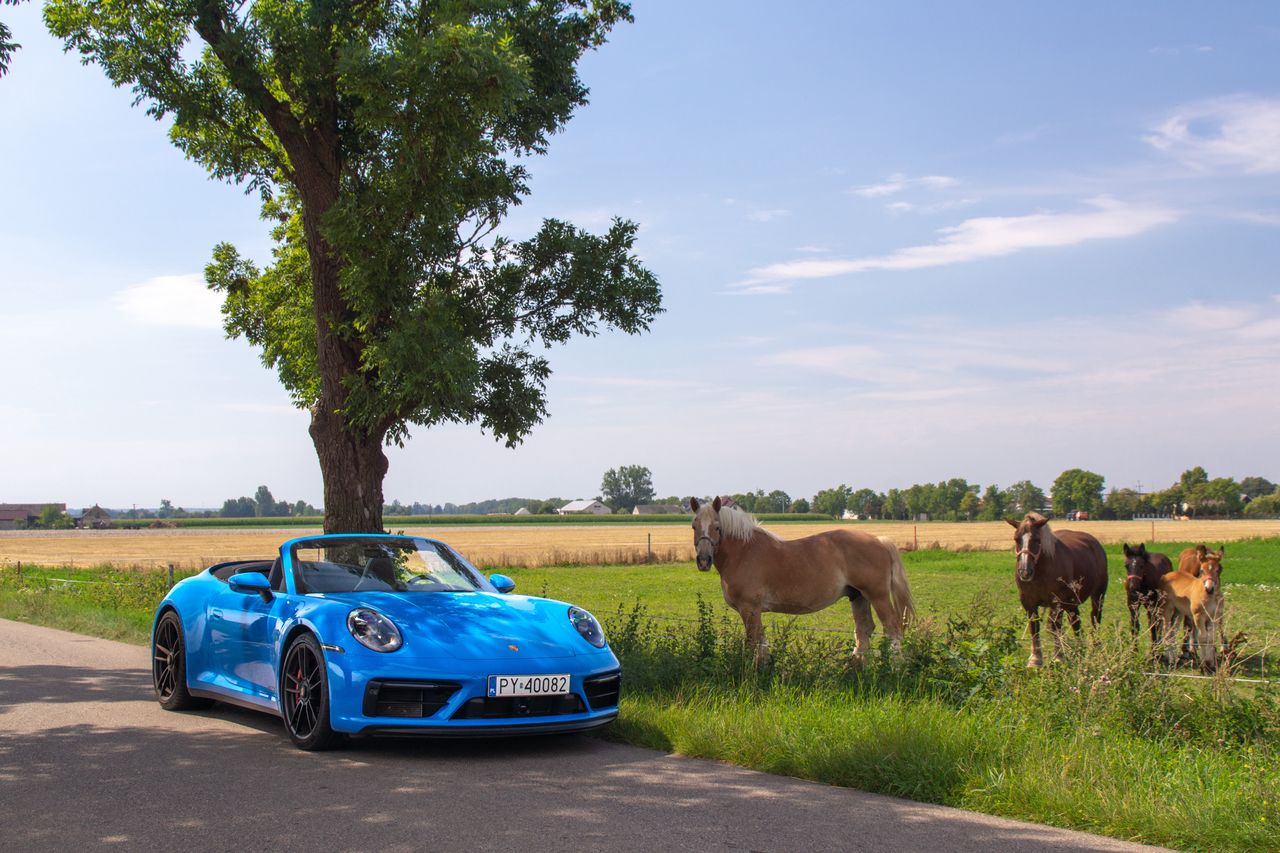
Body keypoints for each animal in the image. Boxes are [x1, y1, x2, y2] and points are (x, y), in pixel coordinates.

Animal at [691, 491, 911, 666]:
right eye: (694, 526)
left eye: (717, 527)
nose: (703, 560)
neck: (744, 551)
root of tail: (879, 541)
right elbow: (762, 642)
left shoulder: (750, 609)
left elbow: (755, 641)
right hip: (858, 596)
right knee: (864, 630)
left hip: (878, 596)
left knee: (892, 629)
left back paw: (895, 668)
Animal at [1003, 512, 1105, 666]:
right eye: (1016, 539)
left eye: (1037, 540)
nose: (1024, 571)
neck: (1040, 572)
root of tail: (1094, 542)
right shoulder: (1028, 601)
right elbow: (1034, 626)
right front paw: (1035, 659)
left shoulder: (1057, 601)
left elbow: (1055, 626)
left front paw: (1058, 657)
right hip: (1072, 603)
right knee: (1075, 621)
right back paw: (1080, 649)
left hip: (1098, 595)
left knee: (1095, 617)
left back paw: (1095, 646)